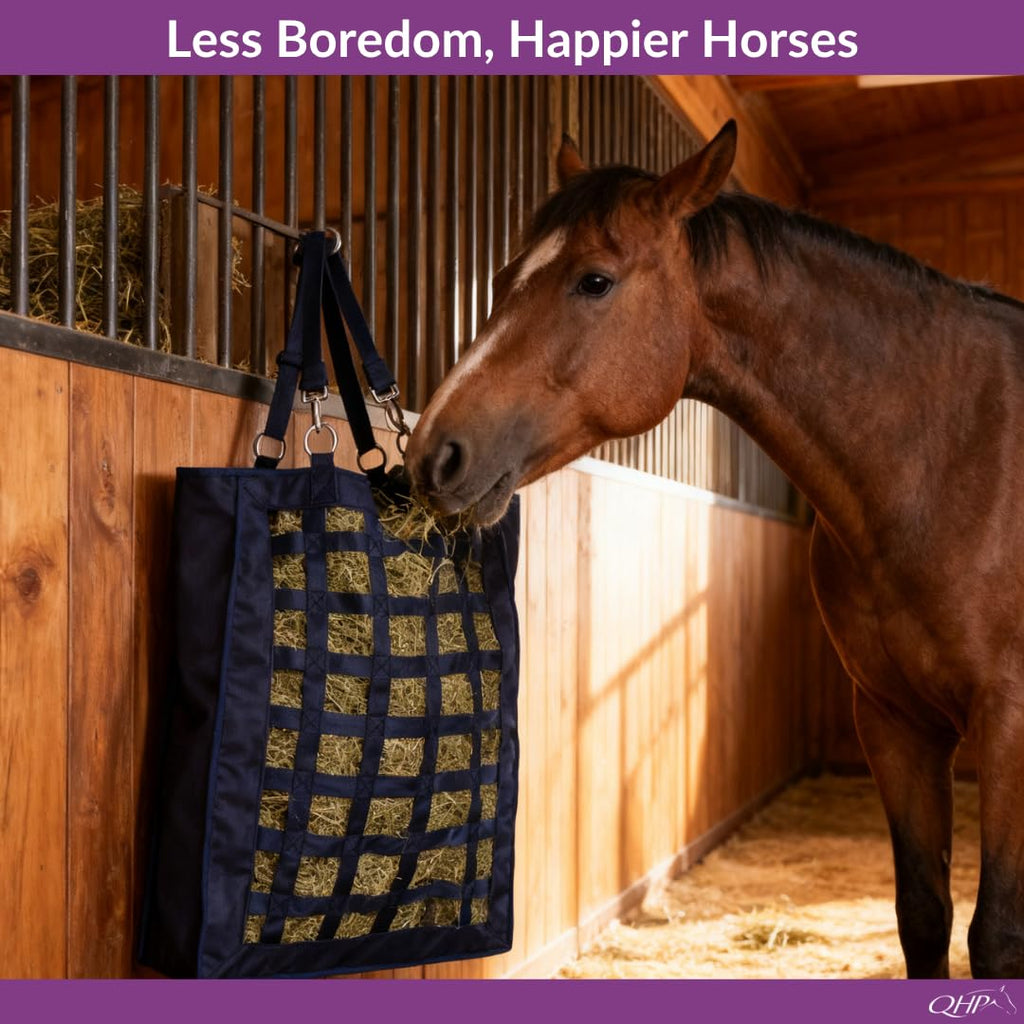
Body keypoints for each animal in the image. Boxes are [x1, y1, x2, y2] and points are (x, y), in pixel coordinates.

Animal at [403, 120, 1024, 980]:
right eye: (501, 277)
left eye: (594, 281)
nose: (433, 454)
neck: (948, 449)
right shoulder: (893, 721)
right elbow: (924, 916)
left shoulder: (1008, 719)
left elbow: (994, 935)